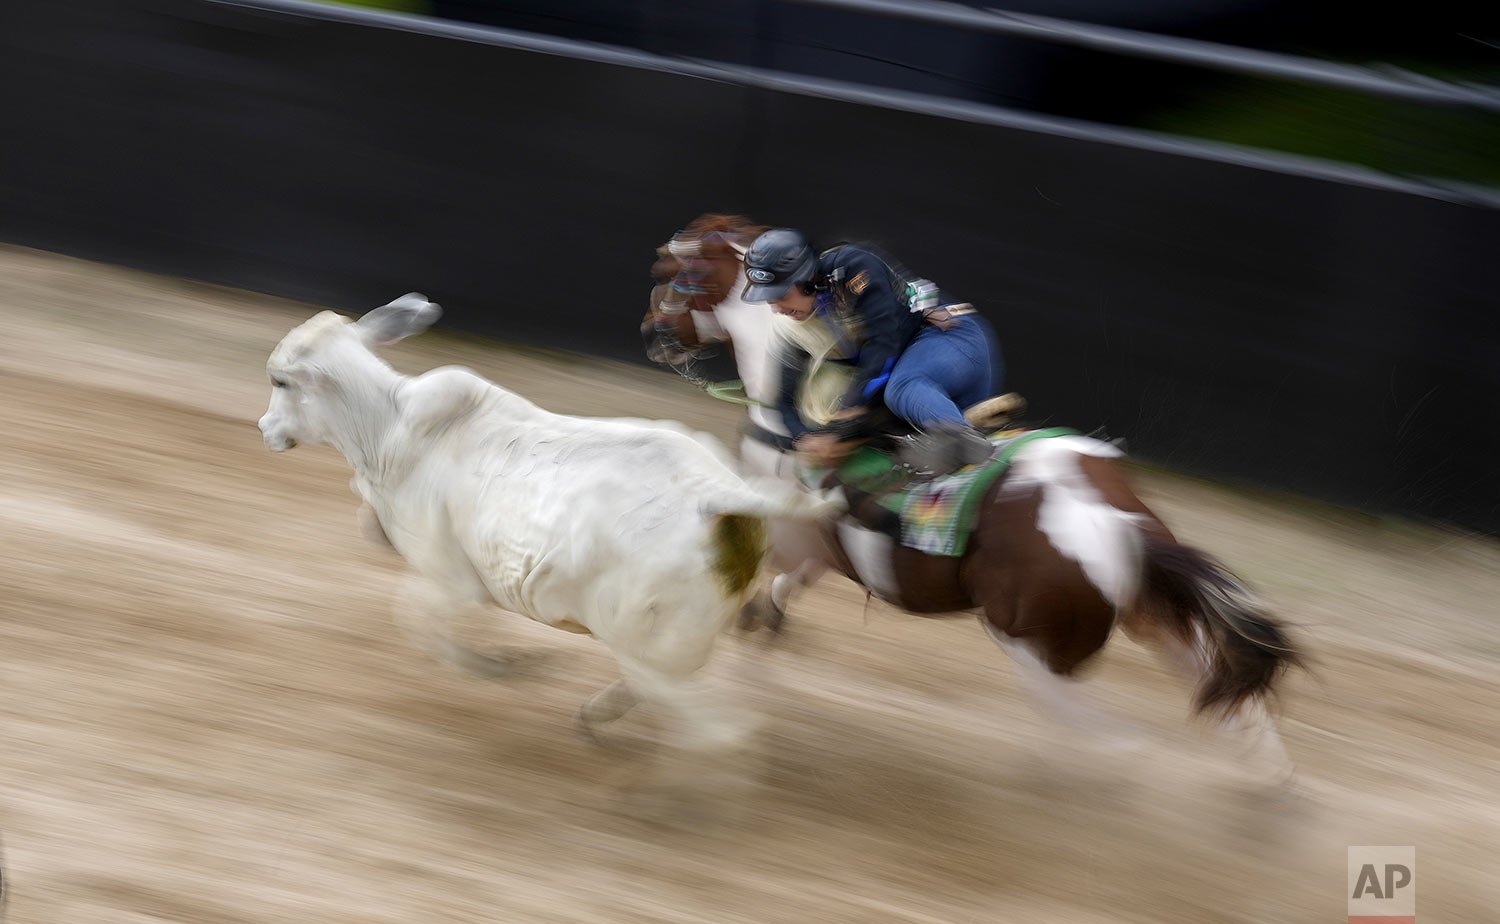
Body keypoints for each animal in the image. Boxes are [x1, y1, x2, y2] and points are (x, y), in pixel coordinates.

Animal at [642, 214, 1302, 780]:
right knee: (1226, 692)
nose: (653, 332)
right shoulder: (812, 553)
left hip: (1035, 646)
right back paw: (1268, 796)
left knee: (1108, 737)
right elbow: (772, 605)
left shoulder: (787, 534)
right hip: (1152, 614)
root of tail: (1118, 522)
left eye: (672, 269)